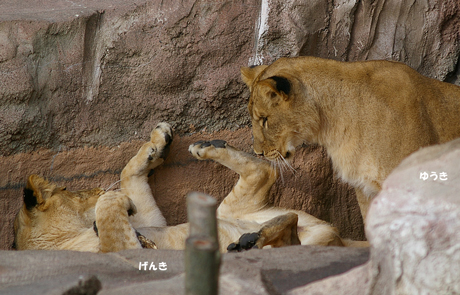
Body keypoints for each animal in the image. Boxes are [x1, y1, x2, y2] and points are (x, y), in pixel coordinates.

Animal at [14, 123, 362, 253]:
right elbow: (114, 216)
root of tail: (337, 236)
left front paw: (156, 144)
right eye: (71, 190)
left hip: (230, 209)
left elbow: (129, 174)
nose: (97, 190)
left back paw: (207, 147)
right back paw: (250, 242)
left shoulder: (153, 220)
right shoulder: (120, 251)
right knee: (284, 222)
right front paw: (114, 199)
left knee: (264, 172)